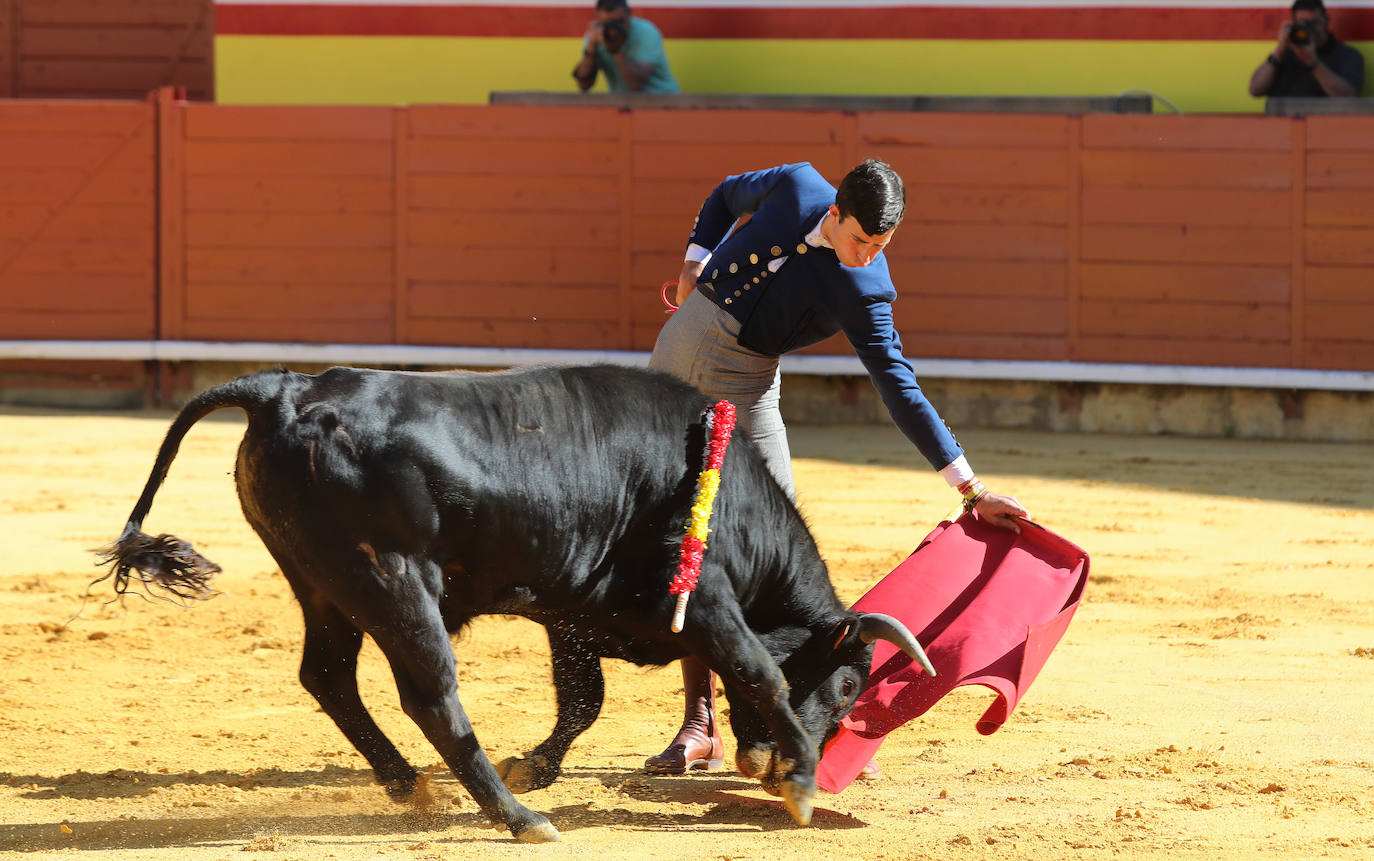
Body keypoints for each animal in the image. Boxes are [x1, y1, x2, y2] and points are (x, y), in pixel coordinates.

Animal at [101, 362, 928, 840]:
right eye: (848, 684)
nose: (777, 763)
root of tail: (282, 389)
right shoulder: (704, 598)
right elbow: (761, 670)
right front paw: (801, 786)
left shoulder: (574, 610)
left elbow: (584, 698)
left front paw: (535, 763)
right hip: (393, 580)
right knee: (431, 695)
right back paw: (518, 817)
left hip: (321, 583)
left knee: (329, 675)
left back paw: (411, 785)